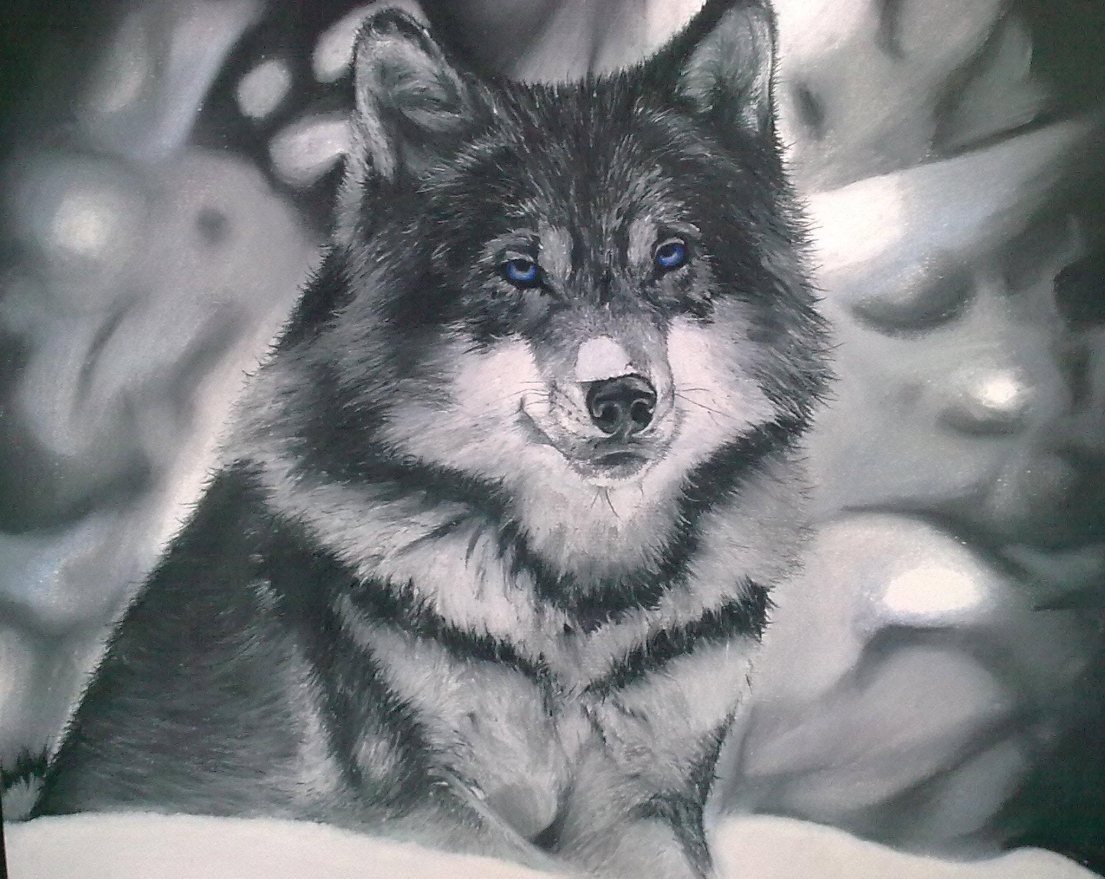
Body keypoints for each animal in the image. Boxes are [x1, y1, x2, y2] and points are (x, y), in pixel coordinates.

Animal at [34, 2, 831, 877]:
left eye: (669, 255)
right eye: (520, 270)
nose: (622, 397)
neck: (575, 612)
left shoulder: (645, 805)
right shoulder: (412, 802)